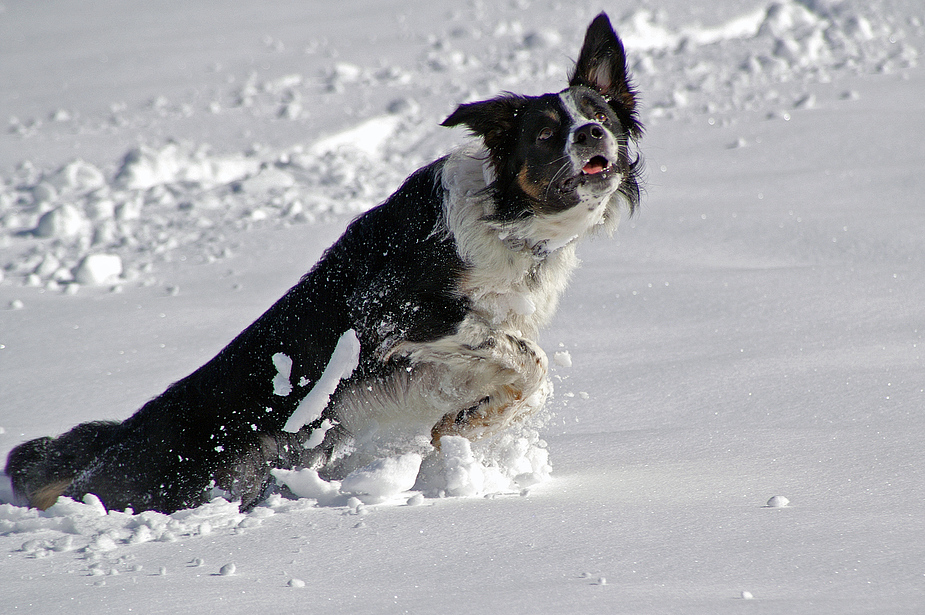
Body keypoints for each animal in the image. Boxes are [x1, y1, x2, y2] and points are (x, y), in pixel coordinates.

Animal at [5, 14, 644, 516]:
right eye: (546, 134)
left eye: (601, 115)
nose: (592, 134)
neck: (511, 219)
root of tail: (120, 439)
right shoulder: (394, 312)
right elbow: (530, 360)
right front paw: (457, 427)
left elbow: (521, 376)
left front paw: (465, 423)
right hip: (224, 468)